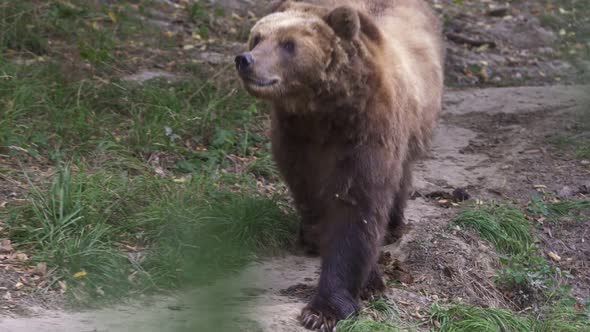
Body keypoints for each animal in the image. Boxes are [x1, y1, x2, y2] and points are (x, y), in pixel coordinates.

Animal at [236, 0, 444, 330]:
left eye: (288, 44)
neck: (322, 113)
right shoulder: (296, 141)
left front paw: (325, 310)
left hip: (416, 122)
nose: (245, 60)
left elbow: (355, 210)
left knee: (401, 175)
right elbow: (313, 198)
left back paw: (394, 224)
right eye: (257, 38)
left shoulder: (366, 134)